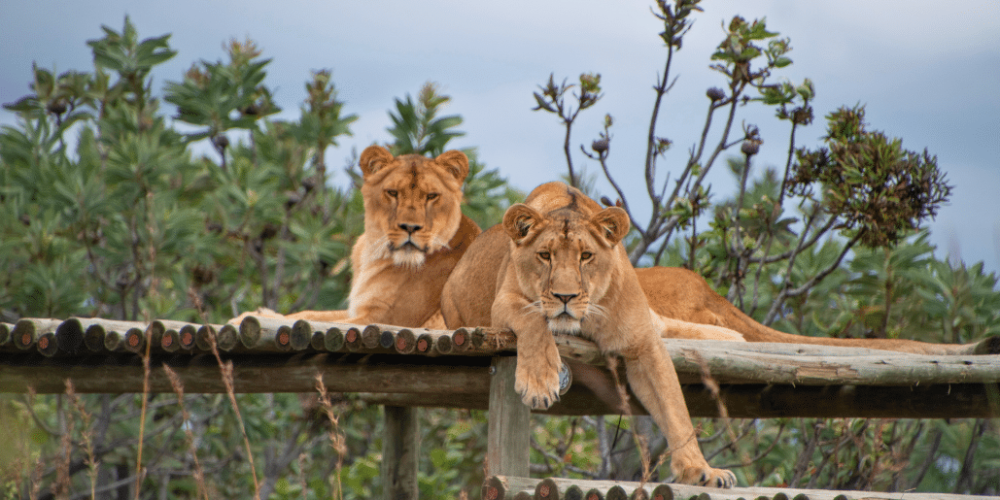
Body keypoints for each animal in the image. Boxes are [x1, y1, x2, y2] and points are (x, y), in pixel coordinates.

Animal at [232, 145, 480, 328]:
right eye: (392, 193)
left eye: (431, 196)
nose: (410, 227)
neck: (375, 252)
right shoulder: (358, 310)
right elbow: (311, 314)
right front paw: (253, 314)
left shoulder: (387, 319)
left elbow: (314, 322)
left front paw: (245, 319)